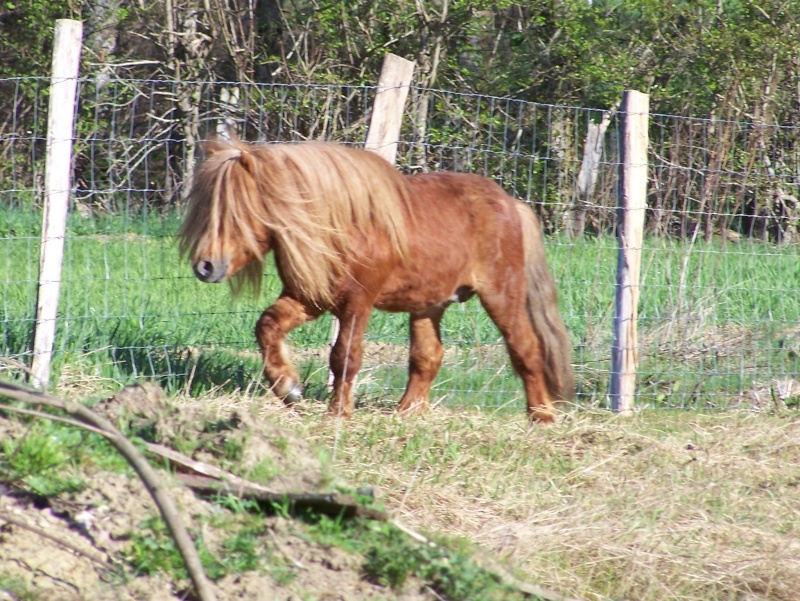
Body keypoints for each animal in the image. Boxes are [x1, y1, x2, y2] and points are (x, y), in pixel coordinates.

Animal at [178, 140, 572, 422]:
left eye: (236, 211)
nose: (205, 266)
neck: (340, 225)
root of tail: (511, 203)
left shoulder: (358, 302)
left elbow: (344, 357)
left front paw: (338, 412)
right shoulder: (309, 299)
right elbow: (267, 327)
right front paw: (288, 387)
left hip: (501, 295)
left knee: (526, 348)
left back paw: (541, 415)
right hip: (430, 305)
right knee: (427, 356)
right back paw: (406, 413)